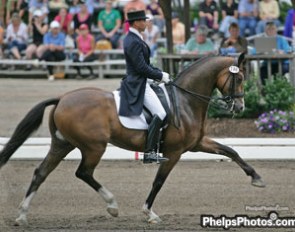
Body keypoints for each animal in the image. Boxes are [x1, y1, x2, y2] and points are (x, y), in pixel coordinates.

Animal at [0, 54, 266, 225]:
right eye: (240, 78)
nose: (240, 107)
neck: (185, 99)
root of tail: (62, 98)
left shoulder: (197, 144)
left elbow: (230, 151)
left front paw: (257, 178)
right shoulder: (175, 152)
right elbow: (158, 182)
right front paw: (149, 213)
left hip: (62, 144)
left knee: (41, 172)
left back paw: (22, 215)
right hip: (94, 147)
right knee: (83, 172)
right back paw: (112, 205)